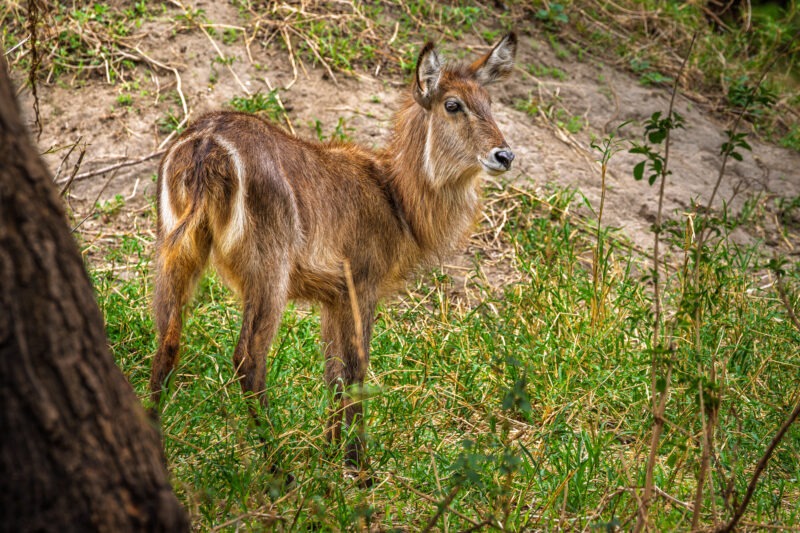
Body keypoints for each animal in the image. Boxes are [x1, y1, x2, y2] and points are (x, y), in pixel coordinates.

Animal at [152, 33, 520, 468]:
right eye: (452, 104)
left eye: (490, 102)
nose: (504, 155)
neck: (396, 197)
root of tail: (207, 141)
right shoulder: (362, 286)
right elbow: (356, 372)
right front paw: (359, 466)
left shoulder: (333, 297)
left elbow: (333, 374)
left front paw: (330, 455)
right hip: (269, 270)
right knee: (248, 357)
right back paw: (279, 467)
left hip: (178, 248)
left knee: (168, 339)